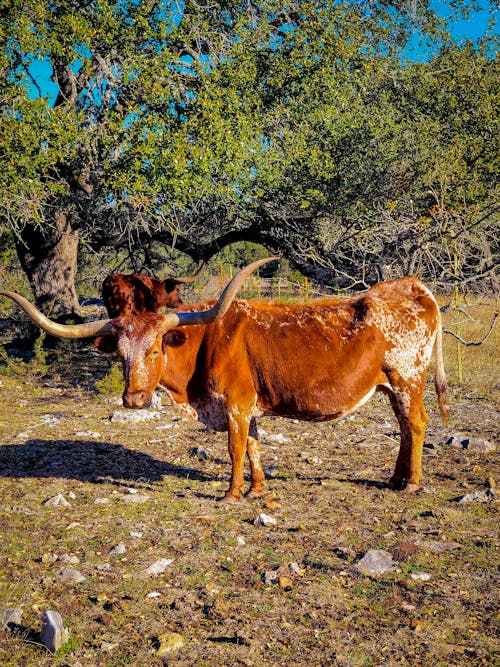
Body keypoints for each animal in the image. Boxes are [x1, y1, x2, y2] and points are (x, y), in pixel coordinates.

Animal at [0, 258, 446, 504]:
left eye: (155, 350)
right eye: (121, 355)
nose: (134, 400)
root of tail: (412, 286)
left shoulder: (235, 402)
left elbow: (235, 448)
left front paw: (231, 493)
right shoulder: (250, 406)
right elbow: (254, 445)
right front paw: (257, 489)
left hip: (408, 379)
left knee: (416, 424)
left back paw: (411, 483)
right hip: (391, 385)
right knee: (404, 427)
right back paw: (395, 478)